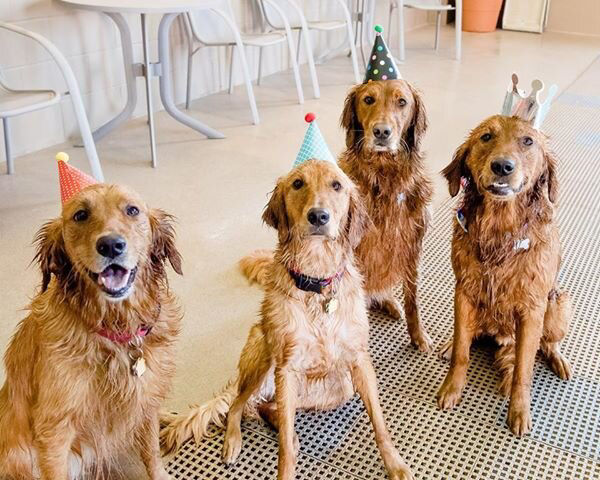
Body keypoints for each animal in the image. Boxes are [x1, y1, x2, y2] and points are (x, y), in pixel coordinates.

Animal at [0, 160, 183, 476]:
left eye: (132, 210)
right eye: (81, 215)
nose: (110, 245)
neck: (114, 328)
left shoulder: (145, 394)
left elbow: (151, 451)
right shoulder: (54, 430)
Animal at [159, 160, 412, 480]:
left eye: (337, 185)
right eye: (298, 184)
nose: (318, 216)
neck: (317, 282)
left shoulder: (358, 360)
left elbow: (380, 425)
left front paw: (396, 465)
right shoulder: (287, 368)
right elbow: (284, 453)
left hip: (339, 386)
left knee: (267, 408)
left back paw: (287, 432)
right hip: (262, 358)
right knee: (239, 405)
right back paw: (235, 440)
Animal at [436, 115, 572, 436]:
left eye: (528, 141)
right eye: (486, 137)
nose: (502, 166)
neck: (499, 230)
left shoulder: (533, 308)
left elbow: (523, 369)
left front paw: (519, 411)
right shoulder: (464, 291)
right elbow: (462, 351)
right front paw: (451, 388)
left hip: (559, 302)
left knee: (547, 344)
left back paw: (558, 358)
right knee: (467, 337)